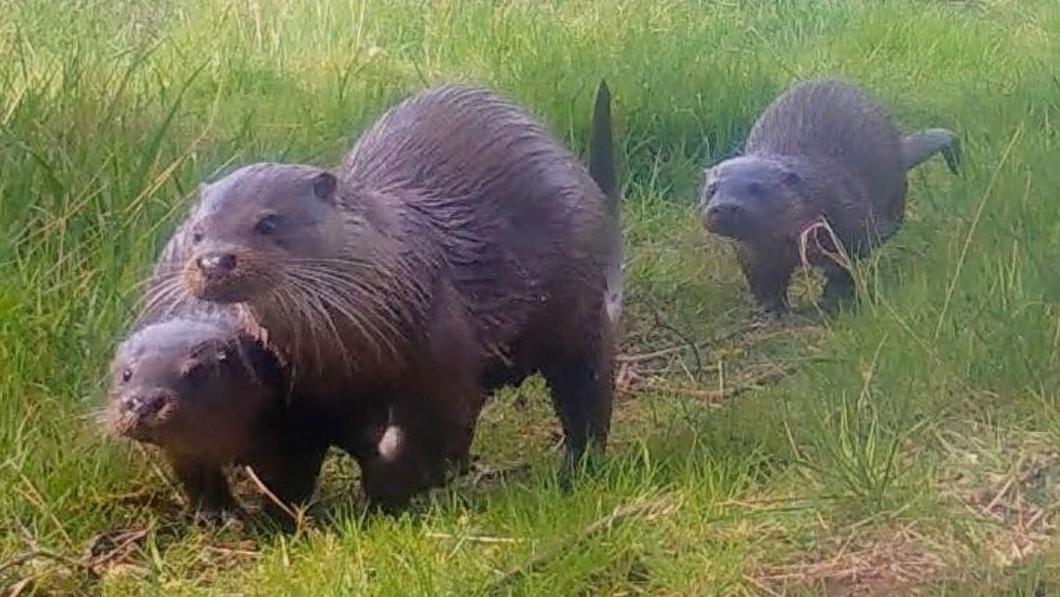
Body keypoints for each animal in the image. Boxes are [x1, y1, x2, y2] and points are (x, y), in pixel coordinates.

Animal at [152, 81, 620, 508]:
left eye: (267, 223)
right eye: (198, 233)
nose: (214, 261)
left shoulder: (444, 355)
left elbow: (434, 428)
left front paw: (402, 488)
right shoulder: (305, 399)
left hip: (581, 312)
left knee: (587, 393)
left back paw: (577, 469)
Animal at [700, 79, 959, 314]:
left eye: (756, 188)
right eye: (712, 189)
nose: (723, 207)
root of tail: (899, 146)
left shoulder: (844, 229)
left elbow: (842, 269)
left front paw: (834, 301)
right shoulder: (754, 254)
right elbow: (764, 283)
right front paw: (771, 310)